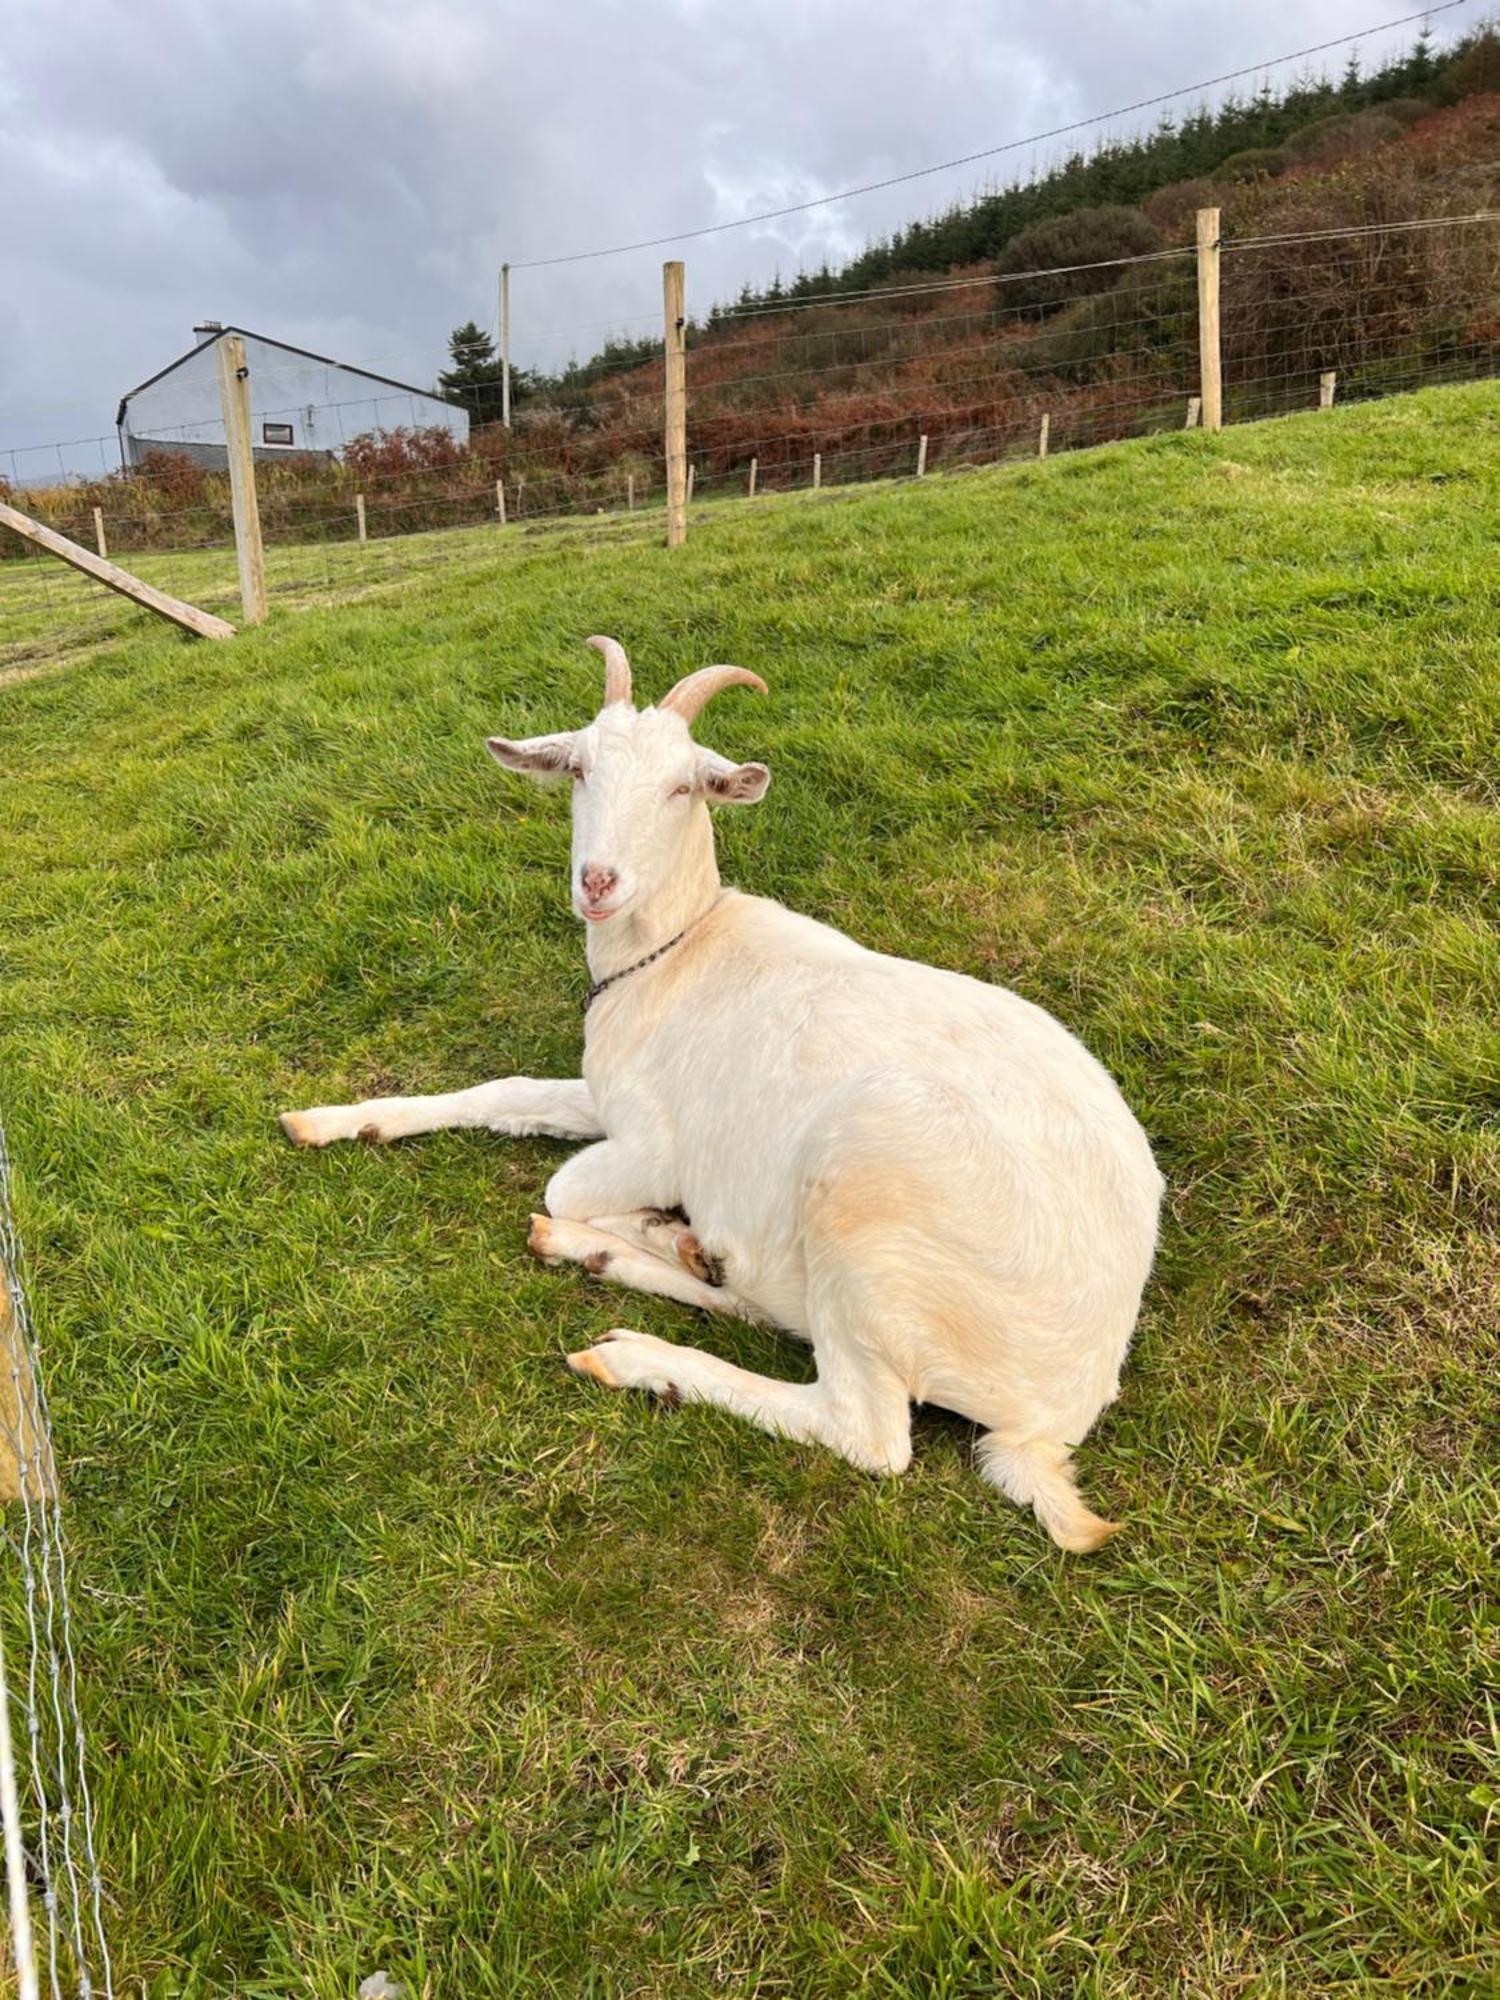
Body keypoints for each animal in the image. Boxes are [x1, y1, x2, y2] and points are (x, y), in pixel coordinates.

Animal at [288, 636, 1168, 1544]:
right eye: (578, 769)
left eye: (683, 785)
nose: (598, 883)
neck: (676, 952)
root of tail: (1054, 1415)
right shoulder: (606, 1095)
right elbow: (504, 1094)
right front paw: (337, 1119)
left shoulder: (653, 1146)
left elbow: (564, 1182)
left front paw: (641, 1231)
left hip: (869, 1189)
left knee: (862, 1427)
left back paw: (638, 1341)